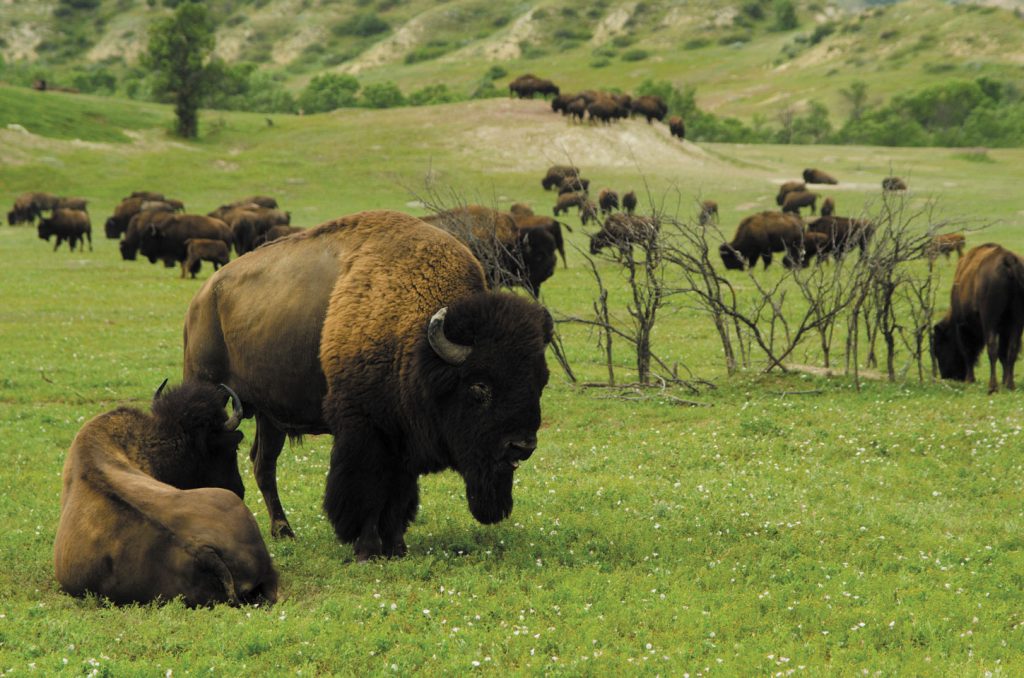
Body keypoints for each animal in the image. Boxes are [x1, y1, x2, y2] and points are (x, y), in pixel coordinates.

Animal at [181, 209, 557, 561]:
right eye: (479, 387)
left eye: (540, 383)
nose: (522, 445)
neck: (416, 341)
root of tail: (203, 296)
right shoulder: (364, 431)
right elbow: (367, 491)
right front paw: (367, 549)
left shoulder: (403, 436)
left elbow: (399, 495)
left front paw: (397, 546)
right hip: (209, 388)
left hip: (269, 415)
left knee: (264, 464)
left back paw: (283, 530)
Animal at [933, 242, 1024, 393]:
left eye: (939, 348)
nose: (947, 376)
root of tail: (1008, 260)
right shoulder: (1005, 329)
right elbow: (1004, 354)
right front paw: (1005, 380)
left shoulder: (962, 326)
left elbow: (968, 352)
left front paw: (970, 379)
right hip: (1017, 321)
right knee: (1012, 349)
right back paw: (1010, 385)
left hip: (990, 321)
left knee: (992, 348)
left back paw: (992, 387)